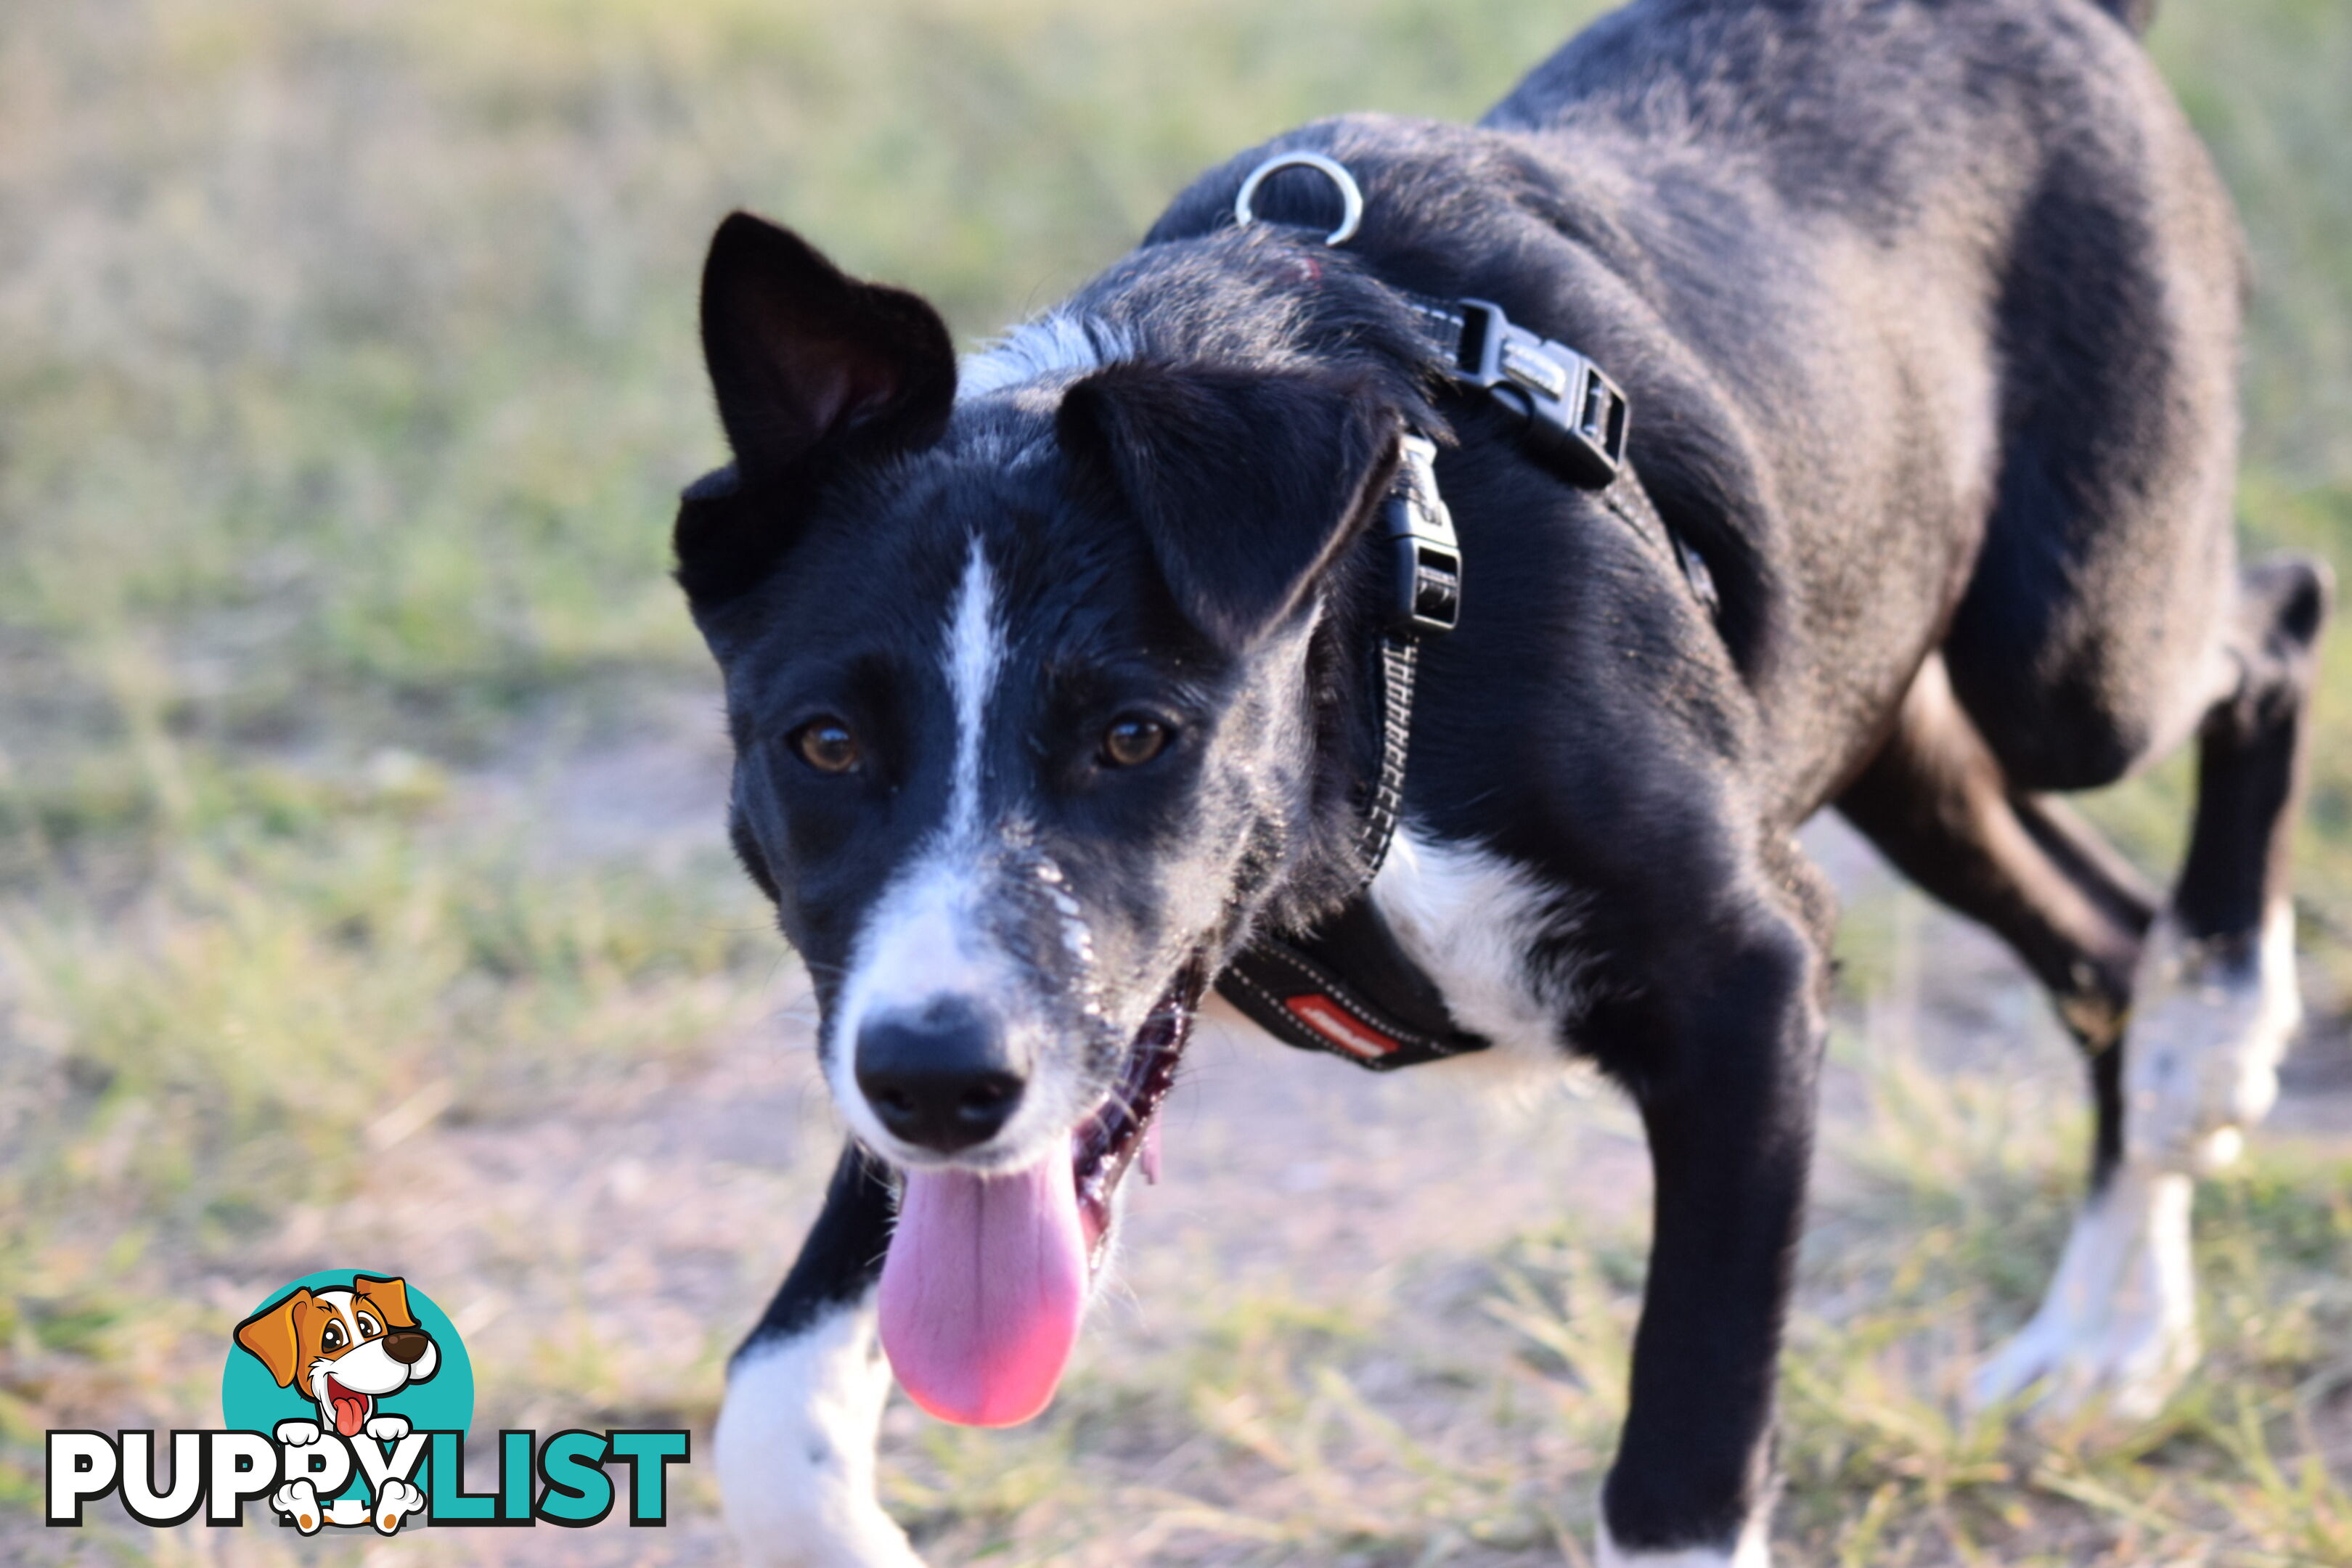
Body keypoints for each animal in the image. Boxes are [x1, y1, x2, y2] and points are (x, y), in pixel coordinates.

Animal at [672, 6, 2324, 1561]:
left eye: (1136, 737)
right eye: (824, 745)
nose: (941, 1082)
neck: (1389, 620)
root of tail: (2079, 19)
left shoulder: (1752, 978)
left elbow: (1680, 1475)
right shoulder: (909, 1035)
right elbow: (770, 1407)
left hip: (2071, 650)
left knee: (2276, 625)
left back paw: (2216, 1040)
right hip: (1898, 714)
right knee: (2105, 939)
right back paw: (2109, 1328)